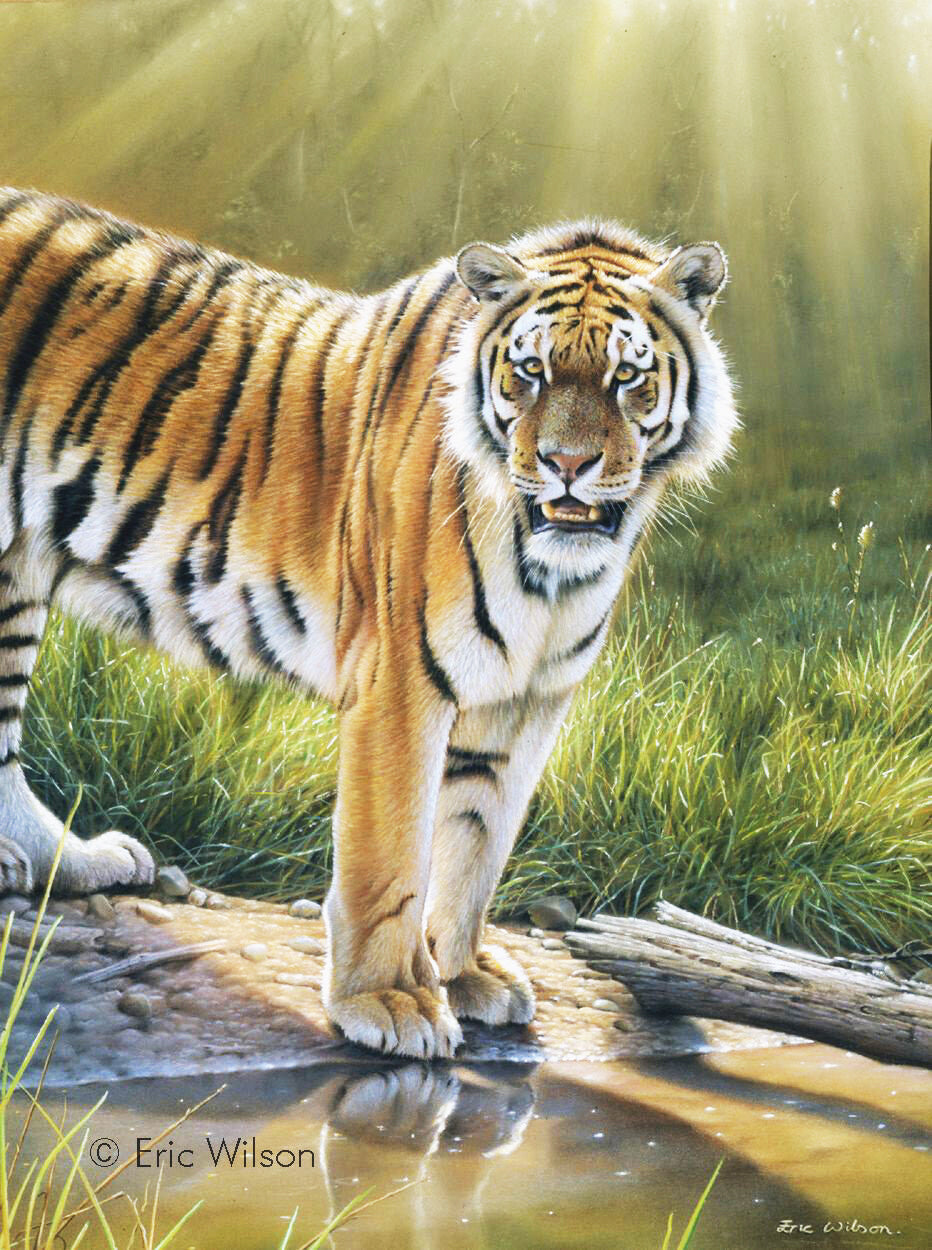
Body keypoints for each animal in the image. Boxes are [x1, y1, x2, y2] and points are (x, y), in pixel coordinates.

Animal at [0, 187, 737, 1058]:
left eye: (628, 377)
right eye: (531, 371)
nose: (567, 464)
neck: (556, 570)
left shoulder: (525, 701)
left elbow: (476, 846)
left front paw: (462, 973)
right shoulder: (401, 680)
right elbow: (390, 854)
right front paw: (387, 1000)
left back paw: (70, 864)